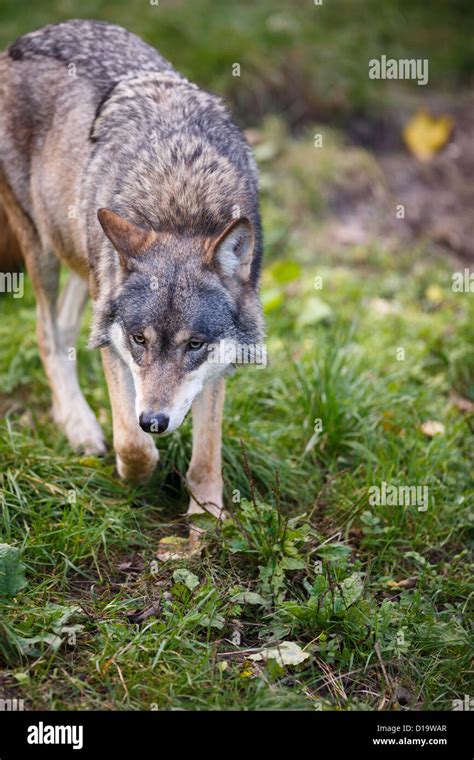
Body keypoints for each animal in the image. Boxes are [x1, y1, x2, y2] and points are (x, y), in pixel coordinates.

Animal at [0, 20, 262, 524]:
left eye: (195, 345)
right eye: (140, 339)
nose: (154, 421)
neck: (179, 201)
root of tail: (24, 39)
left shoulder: (217, 364)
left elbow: (207, 453)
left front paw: (207, 518)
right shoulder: (116, 346)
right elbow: (133, 445)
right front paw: (134, 473)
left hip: (87, 264)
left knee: (65, 328)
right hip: (43, 247)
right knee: (46, 332)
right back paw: (80, 427)